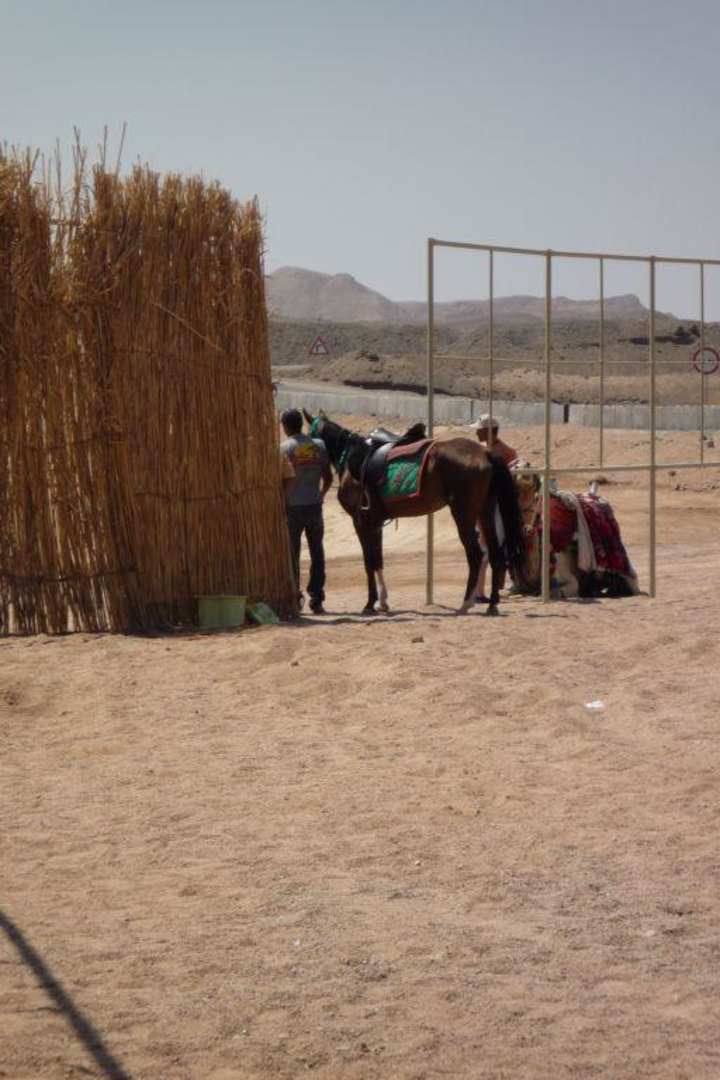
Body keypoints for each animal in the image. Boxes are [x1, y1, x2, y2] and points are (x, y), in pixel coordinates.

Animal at [302, 409, 527, 615]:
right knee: (496, 554)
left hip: (464, 513)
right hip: (485, 511)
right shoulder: (375, 522)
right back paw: (492, 604)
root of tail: (485, 453)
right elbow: (378, 560)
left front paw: (370, 604)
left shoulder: (361, 522)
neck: (350, 457)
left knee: (476, 555)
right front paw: (382, 602)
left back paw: (466, 603)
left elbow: (368, 562)